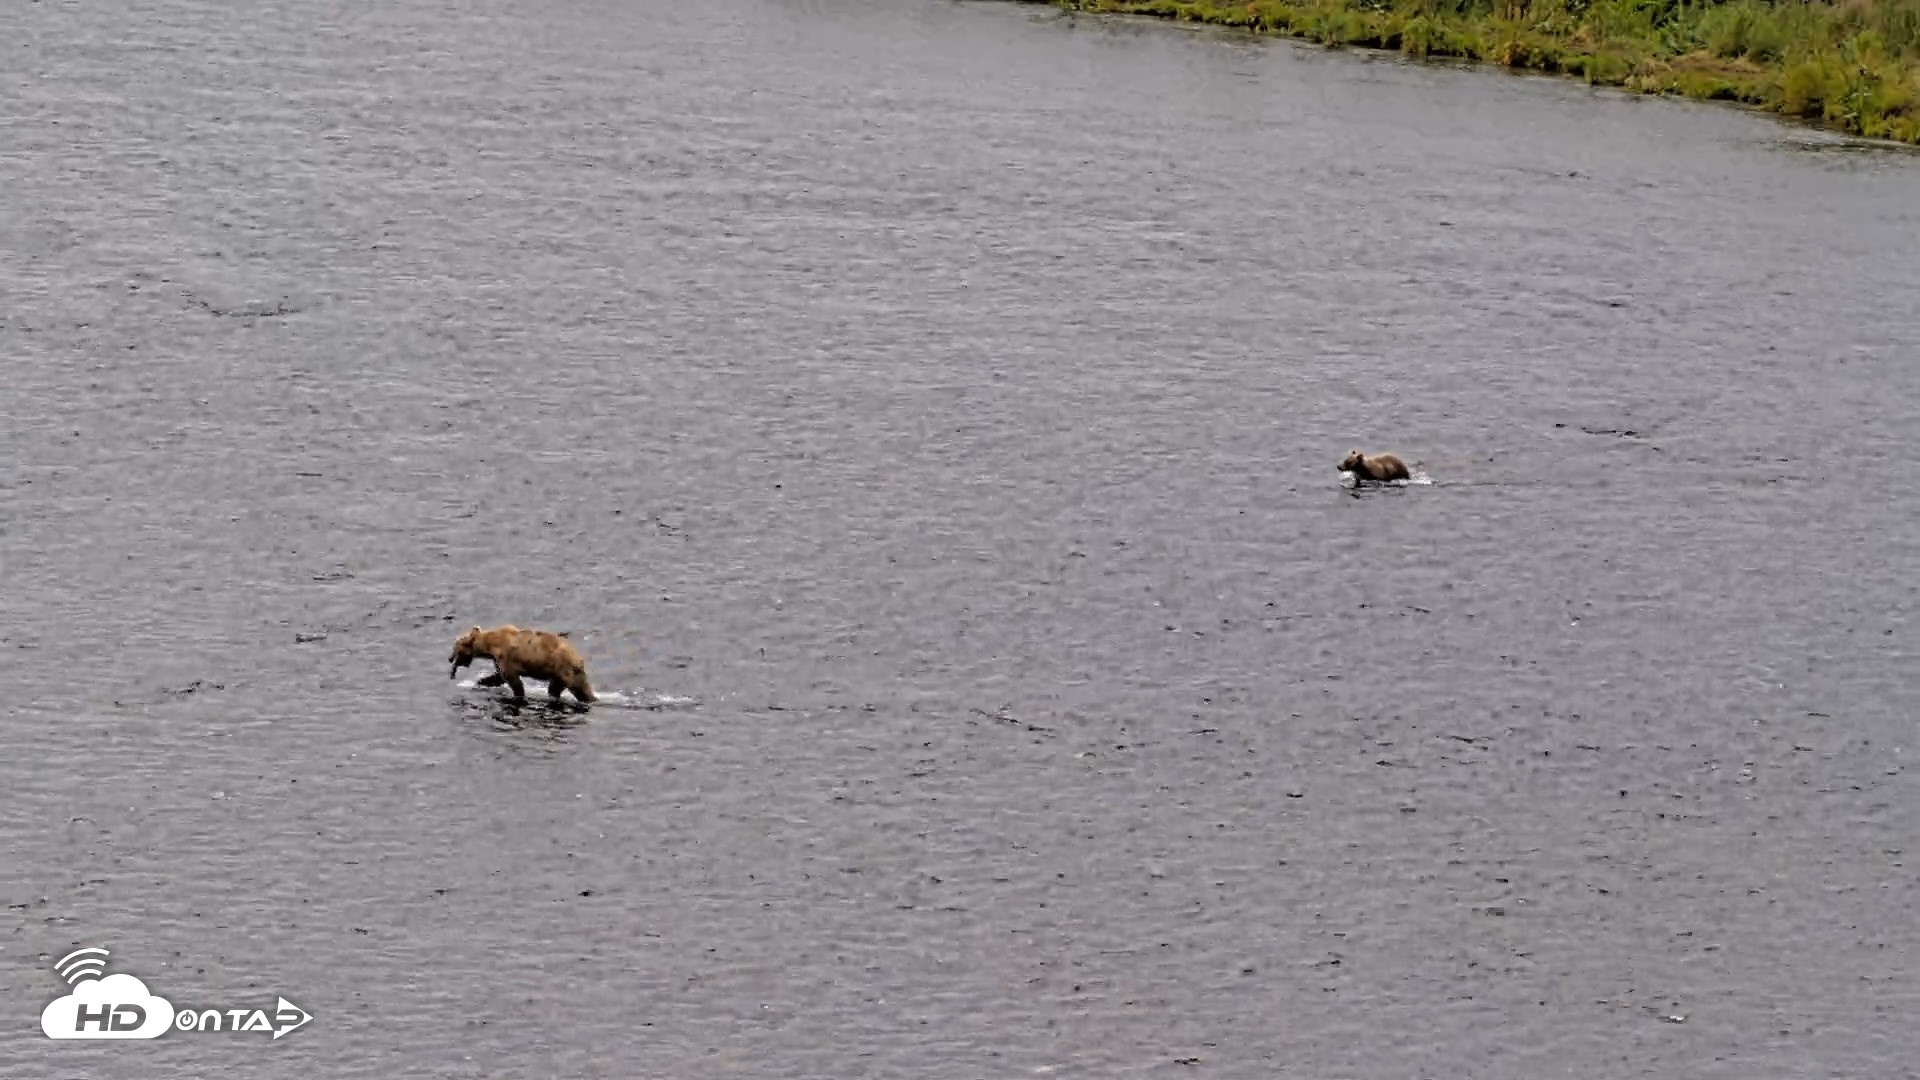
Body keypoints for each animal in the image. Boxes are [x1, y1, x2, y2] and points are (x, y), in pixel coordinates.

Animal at [449, 624, 596, 705]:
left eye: (455, 647)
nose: (449, 659)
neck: (491, 645)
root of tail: (578, 659)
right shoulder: (497, 660)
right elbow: (498, 677)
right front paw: (480, 682)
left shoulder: (506, 658)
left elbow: (513, 681)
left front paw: (518, 695)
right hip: (574, 674)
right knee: (582, 690)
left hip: (561, 670)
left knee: (555, 689)